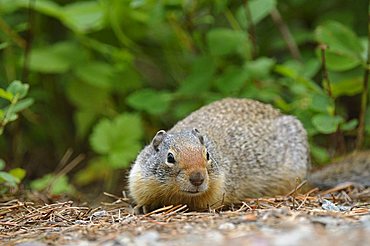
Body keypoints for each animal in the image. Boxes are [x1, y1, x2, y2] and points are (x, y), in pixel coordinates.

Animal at [129, 97, 368, 212]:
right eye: (170, 157)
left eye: (207, 155)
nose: (197, 178)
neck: (176, 194)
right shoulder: (139, 180)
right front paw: (142, 207)